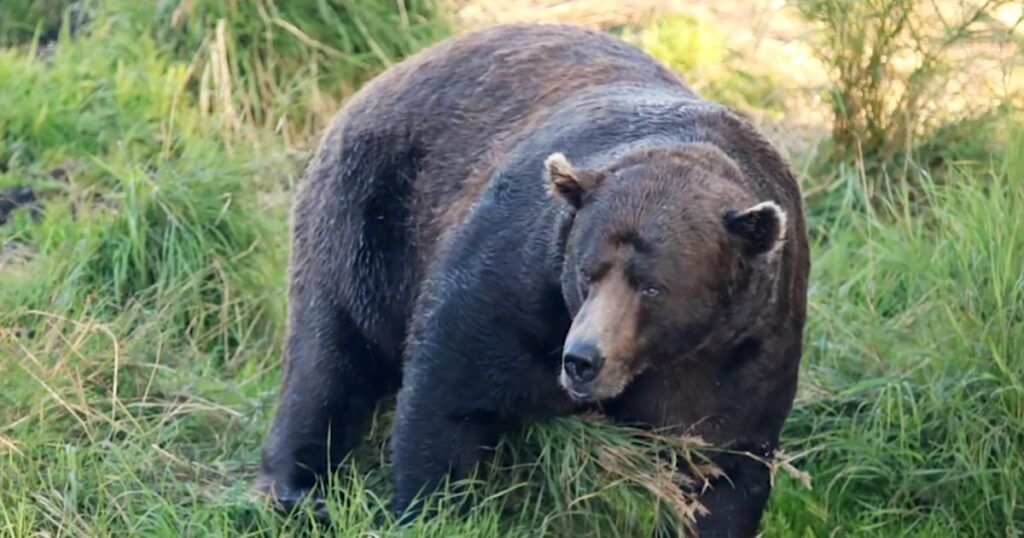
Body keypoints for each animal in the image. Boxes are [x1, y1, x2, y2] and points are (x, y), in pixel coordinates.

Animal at [256, 23, 809, 537]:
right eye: (586, 272)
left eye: (653, 286)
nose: (582, 359)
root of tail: (385, 74)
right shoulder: (514, 286)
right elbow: (447, 398)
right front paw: (433, 508)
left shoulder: (745, 351)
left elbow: (723, 466)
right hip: (371, 214)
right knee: (331, 349)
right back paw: (297, 489)